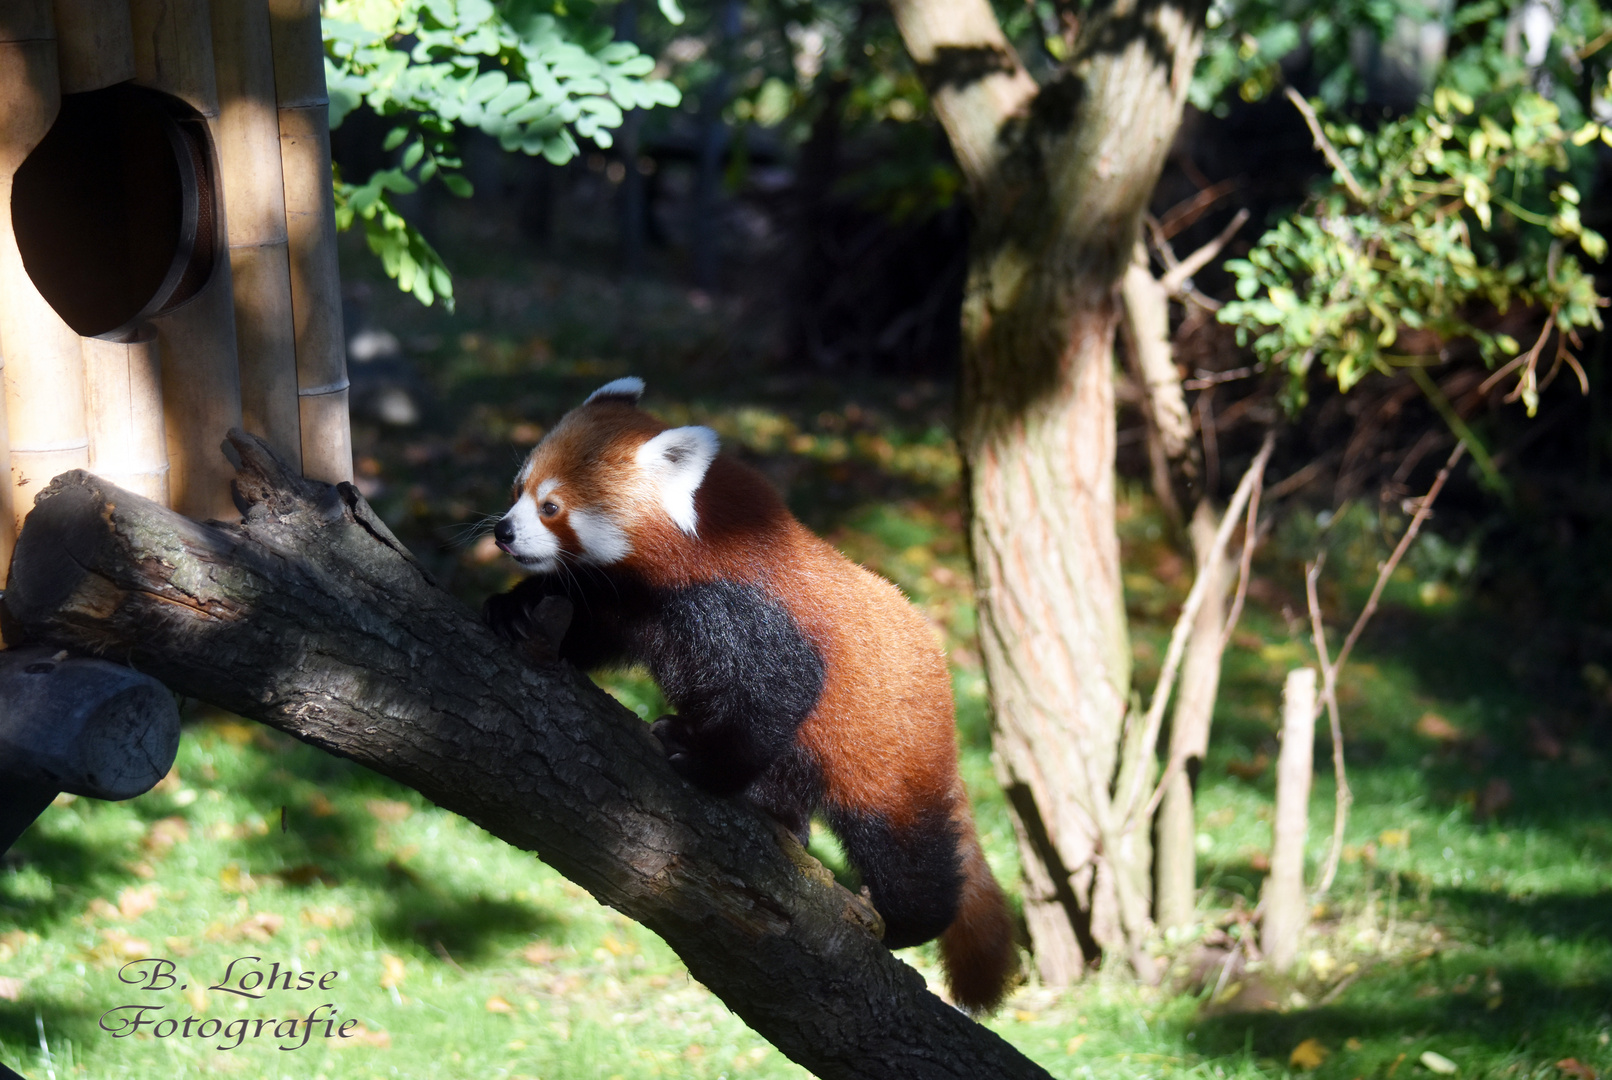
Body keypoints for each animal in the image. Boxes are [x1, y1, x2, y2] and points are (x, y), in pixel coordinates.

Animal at [483, 380, 1012, 1018]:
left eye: (552, 508)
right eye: (518, 490)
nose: (503, 532)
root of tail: (945, 704)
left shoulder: (749, 609)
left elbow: (777, 695)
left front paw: (700, 761)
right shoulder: (632, 600)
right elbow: (587, 620)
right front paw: (516, 608)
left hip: (888, 753)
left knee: (908, 851)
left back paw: (906, 918)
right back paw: (777, 814)